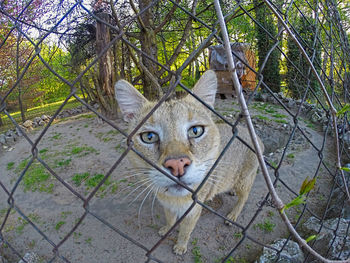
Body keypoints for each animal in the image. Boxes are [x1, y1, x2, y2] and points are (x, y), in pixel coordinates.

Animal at [114, 70, 262, 256]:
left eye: (196, 131)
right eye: (149, 137)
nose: (177, 165)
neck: (173, 199)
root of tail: (250, 133)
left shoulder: (193, 210)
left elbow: (185, 230)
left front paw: (180, 246)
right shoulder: (167, 205)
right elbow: (170, 219)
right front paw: (166, 229)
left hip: (245, 179)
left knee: (244, 197)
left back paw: (233, 215)